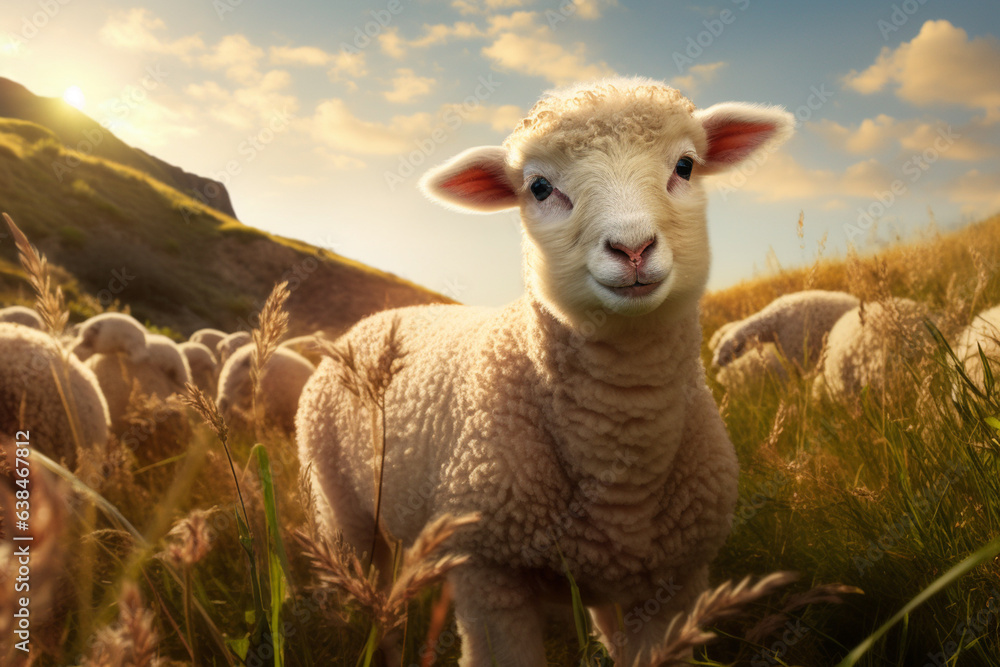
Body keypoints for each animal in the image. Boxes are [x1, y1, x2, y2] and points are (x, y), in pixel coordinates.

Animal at [297, 77, 795, 666]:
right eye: (538, 187)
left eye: (685, 166)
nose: (632, 248)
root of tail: (375, 318)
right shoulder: (490, 573)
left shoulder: (672, 582)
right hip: (341, 512)